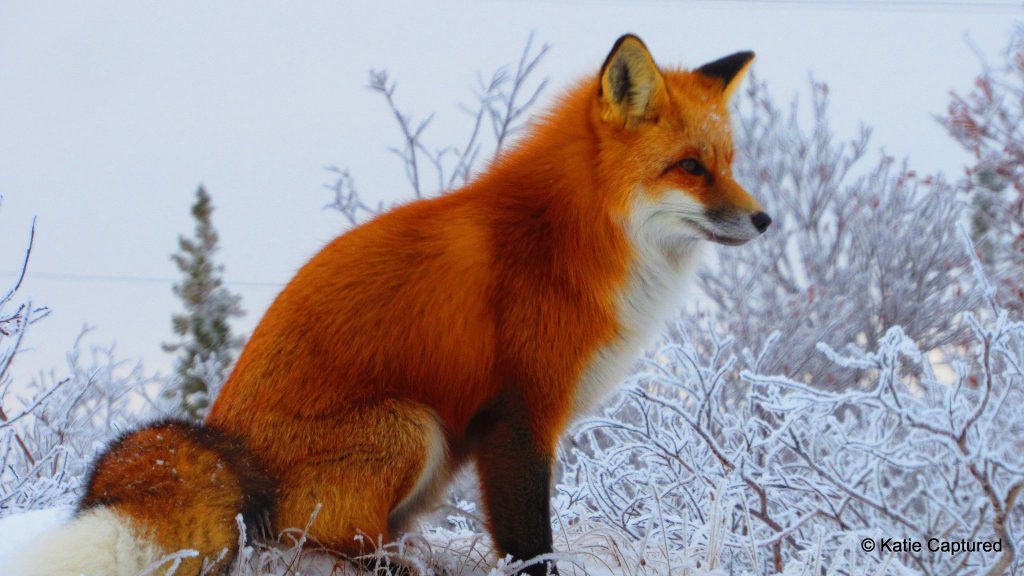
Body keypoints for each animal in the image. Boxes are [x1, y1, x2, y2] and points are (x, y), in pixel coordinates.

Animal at [8, 34, 769, 576]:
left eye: (729, 163)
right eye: (690, 168)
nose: (764, 220)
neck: (571, 237)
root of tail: (229, 450)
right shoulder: (519, 415)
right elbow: (531, 546)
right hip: (412, 426)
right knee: (320, 541)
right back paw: (392, 564)